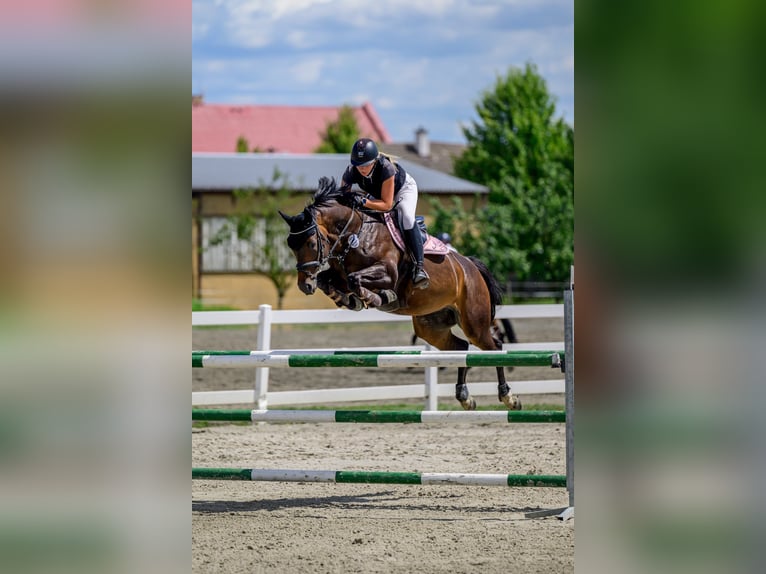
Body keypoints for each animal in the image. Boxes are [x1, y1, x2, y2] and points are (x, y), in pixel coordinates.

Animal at [279, 176, 522, 411]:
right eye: (290, 245)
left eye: (311, 243)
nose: (304, 285)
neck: (355, 233)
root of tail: (470, 266)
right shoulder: (339, 274)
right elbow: (330, 281)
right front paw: (348, 299)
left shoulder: (388, 273)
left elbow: (356, 279)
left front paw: (379, 297)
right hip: (431, 325)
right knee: (461, 348)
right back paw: (465, 396)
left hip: (474, 321)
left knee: (495, 347)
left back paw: (508, 397)